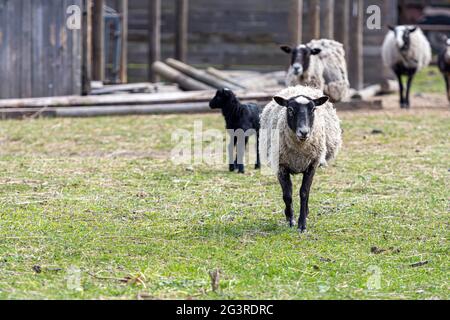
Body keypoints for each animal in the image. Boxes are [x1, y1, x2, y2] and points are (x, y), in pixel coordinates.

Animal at [258, 84, 342, 232]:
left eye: (313, 109)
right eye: (290, 109)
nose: (304, 132)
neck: (299, 150)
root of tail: (300, 86)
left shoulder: (312, 165)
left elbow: (304, 192)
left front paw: (302, 224)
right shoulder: (281, 166)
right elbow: (287, 194)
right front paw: (290, 219)